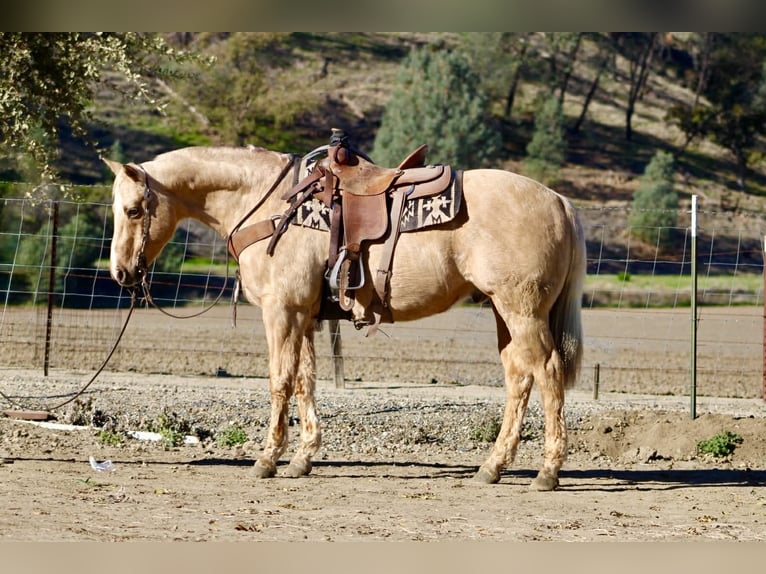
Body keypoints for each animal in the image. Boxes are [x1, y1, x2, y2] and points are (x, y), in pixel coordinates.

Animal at [105, 144, 586, 491]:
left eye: (133, 210)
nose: (121, 273)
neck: (269, 203)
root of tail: (560, 201)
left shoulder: (282, 311)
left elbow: (280, 380)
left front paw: (267, 459)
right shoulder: (304, 315)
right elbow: (305, 380)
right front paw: (302, 458)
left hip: (522, 311)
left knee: (547, 372)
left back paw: (548, 471)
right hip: (504, 313)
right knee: (518, 377)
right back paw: (492, 467)